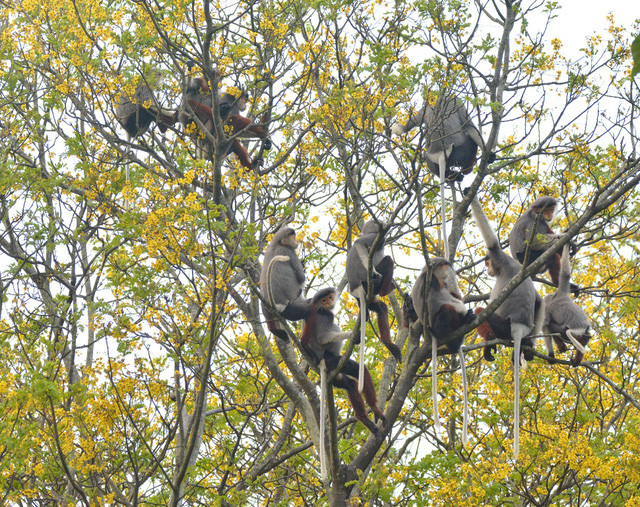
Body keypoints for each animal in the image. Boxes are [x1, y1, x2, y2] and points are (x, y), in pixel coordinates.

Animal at [348, 219, 402, 392]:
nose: (382, 224)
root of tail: (356, 288)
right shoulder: (374, 237)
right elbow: (359, 244)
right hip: (367, 284)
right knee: (388, 260)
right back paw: (385, 287)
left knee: (381, 309)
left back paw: (388, 344)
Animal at [404, 260, 476, 442]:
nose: (449, 271)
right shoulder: (429, 281)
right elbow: (438, 299)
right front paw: (464, 309)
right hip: (436, 322)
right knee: (446, 308)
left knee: (452, 295)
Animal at [468, 194, 544, 460]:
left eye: (489, 263)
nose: (487, 268)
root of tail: (519, 327)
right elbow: (540, 300)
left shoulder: (502, 259)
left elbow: (492, 244)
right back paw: (527, 346)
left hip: (502, 324)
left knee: (481, 313)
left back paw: (489, 342)